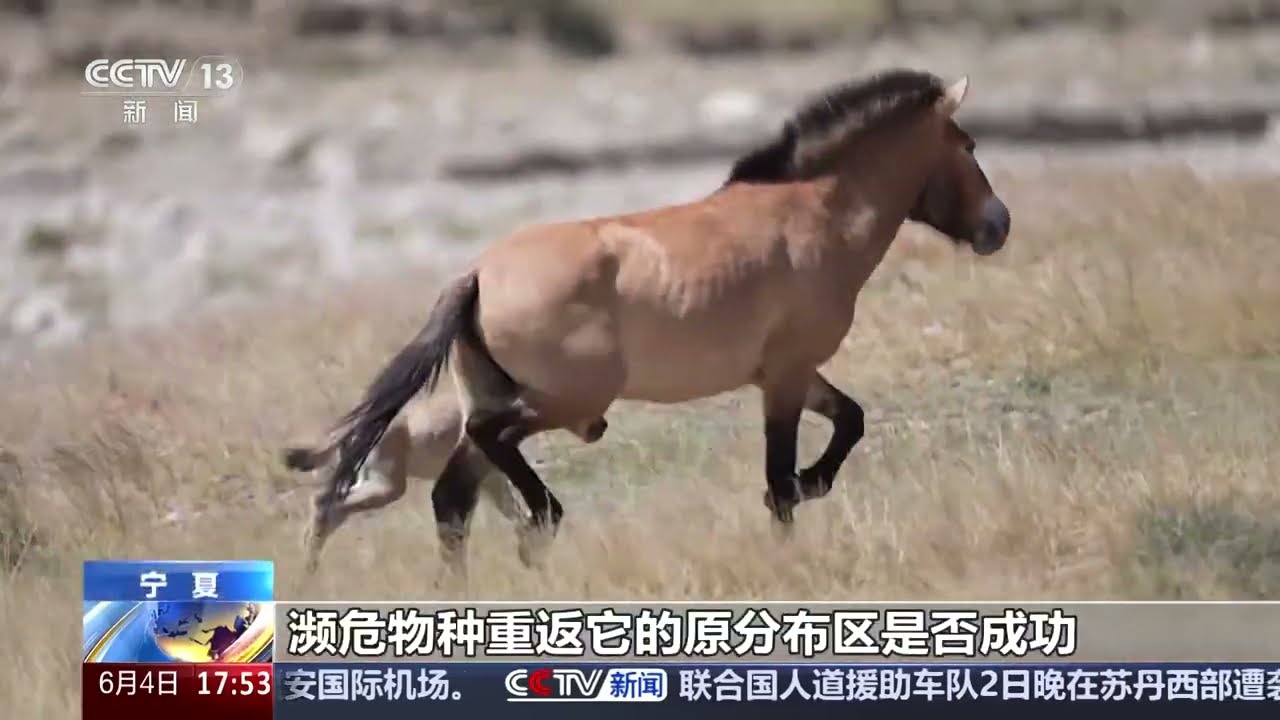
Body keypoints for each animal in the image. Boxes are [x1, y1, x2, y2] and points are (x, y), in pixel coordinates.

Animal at [283, 68, 1011, 574]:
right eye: (969, 143)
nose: (997, 226)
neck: (814, 213)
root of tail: (478, 275)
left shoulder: (791, 373)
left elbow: (850, 423)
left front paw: (815, 483)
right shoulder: (783, 378)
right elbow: (779, 483)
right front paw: (794, 525)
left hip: (505, 404)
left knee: (452, 502)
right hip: (572, 402)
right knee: (490, 451)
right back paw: (540, 523)